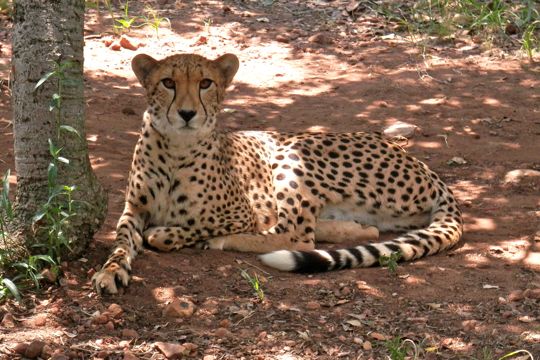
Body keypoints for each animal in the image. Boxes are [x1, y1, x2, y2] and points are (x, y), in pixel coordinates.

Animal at [93, 52, 464, 296]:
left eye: (205, 83)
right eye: (168, 82)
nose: (186, 113)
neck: (175, 146)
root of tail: (422, 165)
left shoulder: (244, 213)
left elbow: (182, 229)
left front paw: (174, 234)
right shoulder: (133, 209)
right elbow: (121, 240)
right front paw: (111, 272)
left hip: (293, 151)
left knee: (296, 235)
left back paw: (221, 242)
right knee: (342, 229)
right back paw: (354, 228)